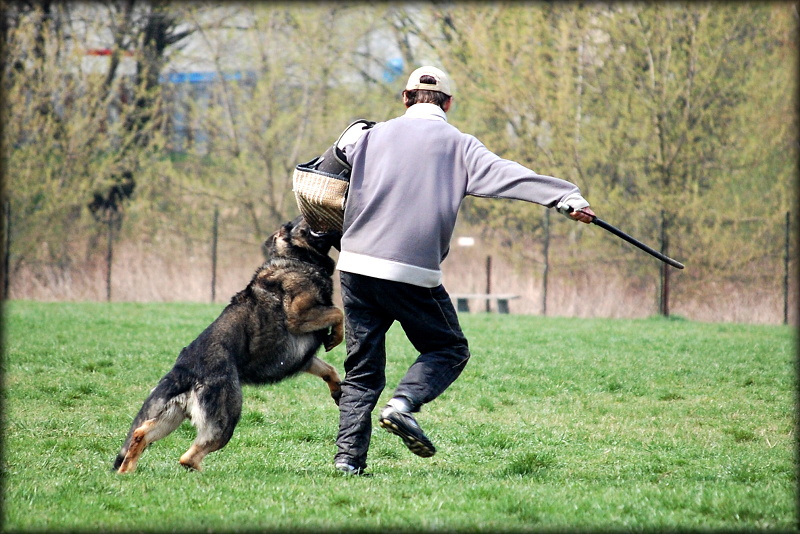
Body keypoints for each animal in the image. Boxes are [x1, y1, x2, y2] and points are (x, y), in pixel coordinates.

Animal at [113, 216, 344, 476]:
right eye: (299, 220)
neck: (297, 258)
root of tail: (184, 369)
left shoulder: (303, 358)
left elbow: (329, 369)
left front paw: (337, 389)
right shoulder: (299, 316)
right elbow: (338, 312)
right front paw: (336, 336)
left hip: (172, 417)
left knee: (141, 432)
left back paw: (126, 472)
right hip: (226, 418)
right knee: (188, 457)